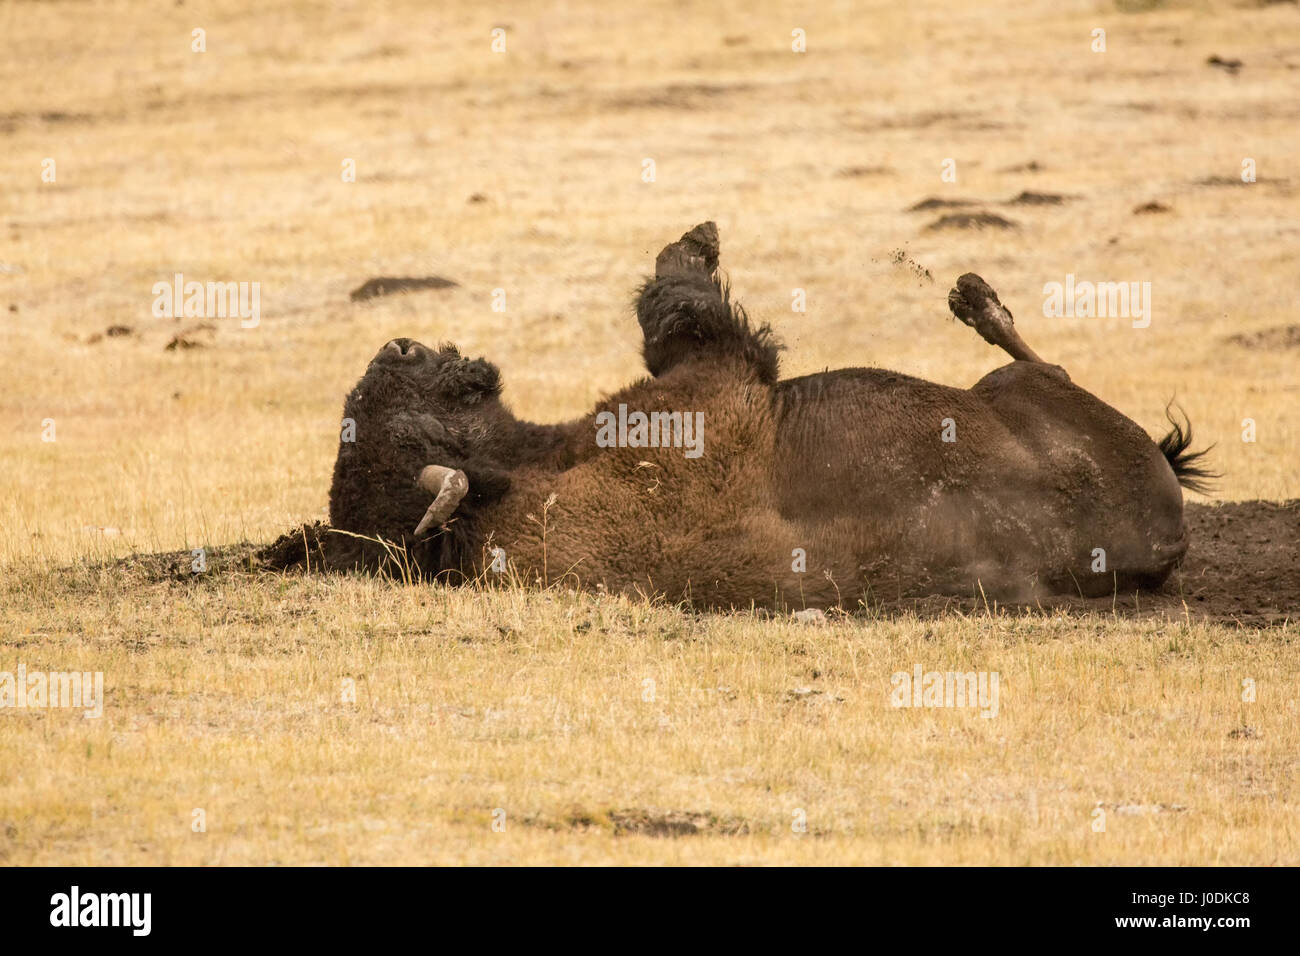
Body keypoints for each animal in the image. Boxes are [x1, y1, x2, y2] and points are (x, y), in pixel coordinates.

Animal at [327, 222, 1206, 606]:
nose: (398, 348)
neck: (508, 487)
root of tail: (1160, 536)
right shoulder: (713, 376)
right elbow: (679, 309)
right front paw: (698, 240)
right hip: (1020, 392)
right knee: (1034, 359)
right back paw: (974, 298)